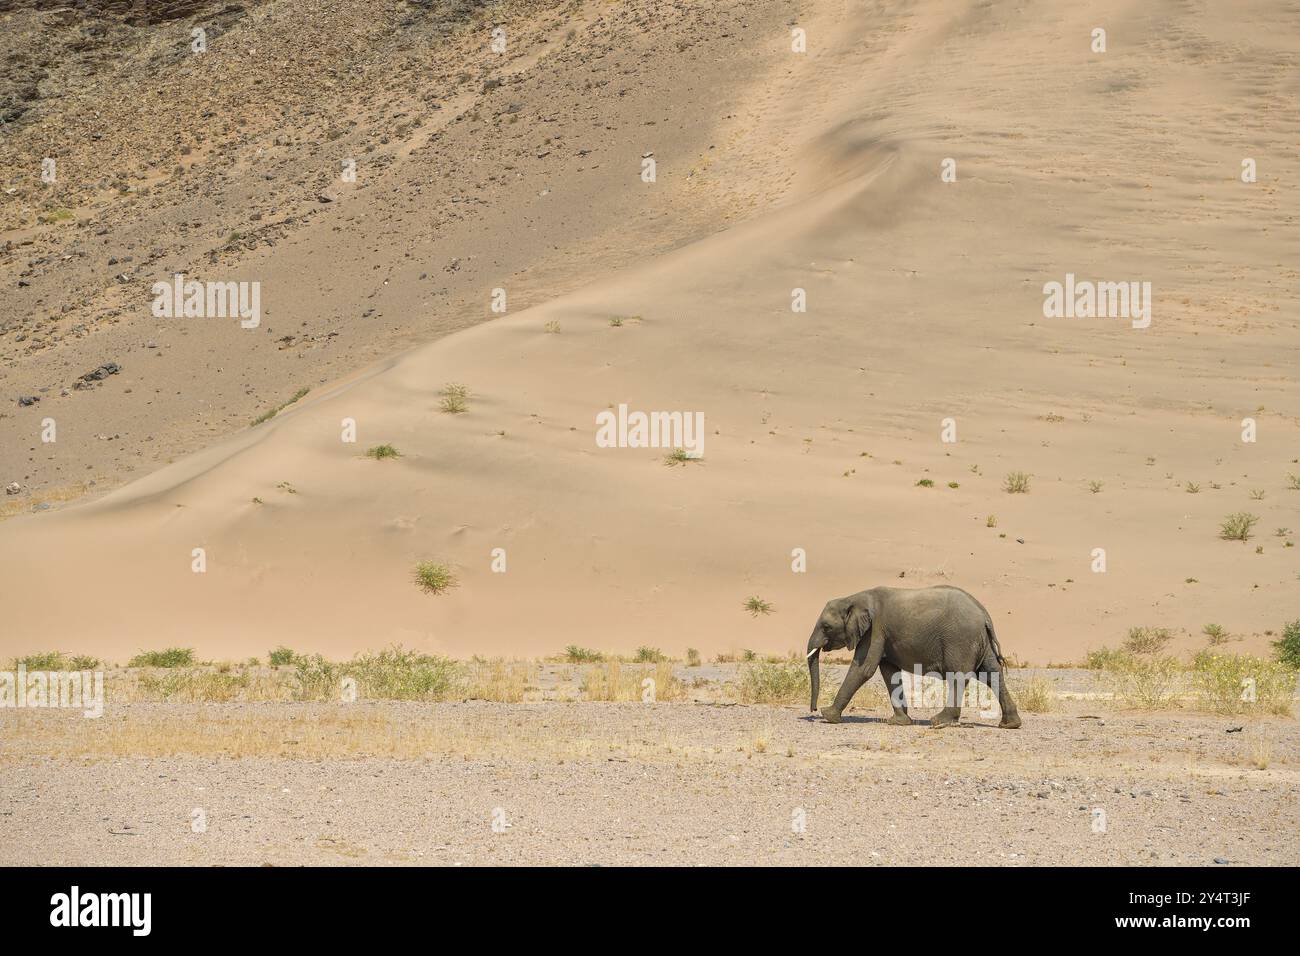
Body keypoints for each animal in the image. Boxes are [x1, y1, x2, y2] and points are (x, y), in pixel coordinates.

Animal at [800, 582, 1024, 733]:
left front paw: (828, 716)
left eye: (826, 627)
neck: (853, 597)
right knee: (992, 674)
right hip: (979, 641)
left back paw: (939, 721)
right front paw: (899, 722)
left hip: (960, 639)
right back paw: (1010, 724)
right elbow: (889, 672)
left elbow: (863, 669)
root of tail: (985, 615)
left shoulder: (875, 630)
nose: (814, 708)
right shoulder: (883, 635)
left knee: (959, 676)